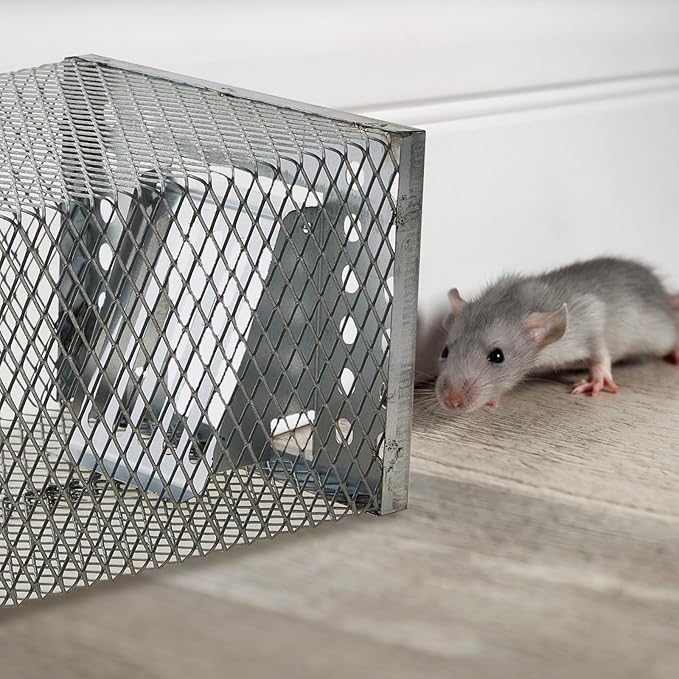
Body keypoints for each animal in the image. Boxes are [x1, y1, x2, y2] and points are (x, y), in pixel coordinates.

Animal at [436, 257, 679, 412]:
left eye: (497, 356)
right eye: (445, 351)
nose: (452, 401)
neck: (520, 300)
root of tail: (663, 292)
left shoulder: (587, 319)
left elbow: (599, 349)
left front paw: (597, 379)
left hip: (660, 332)